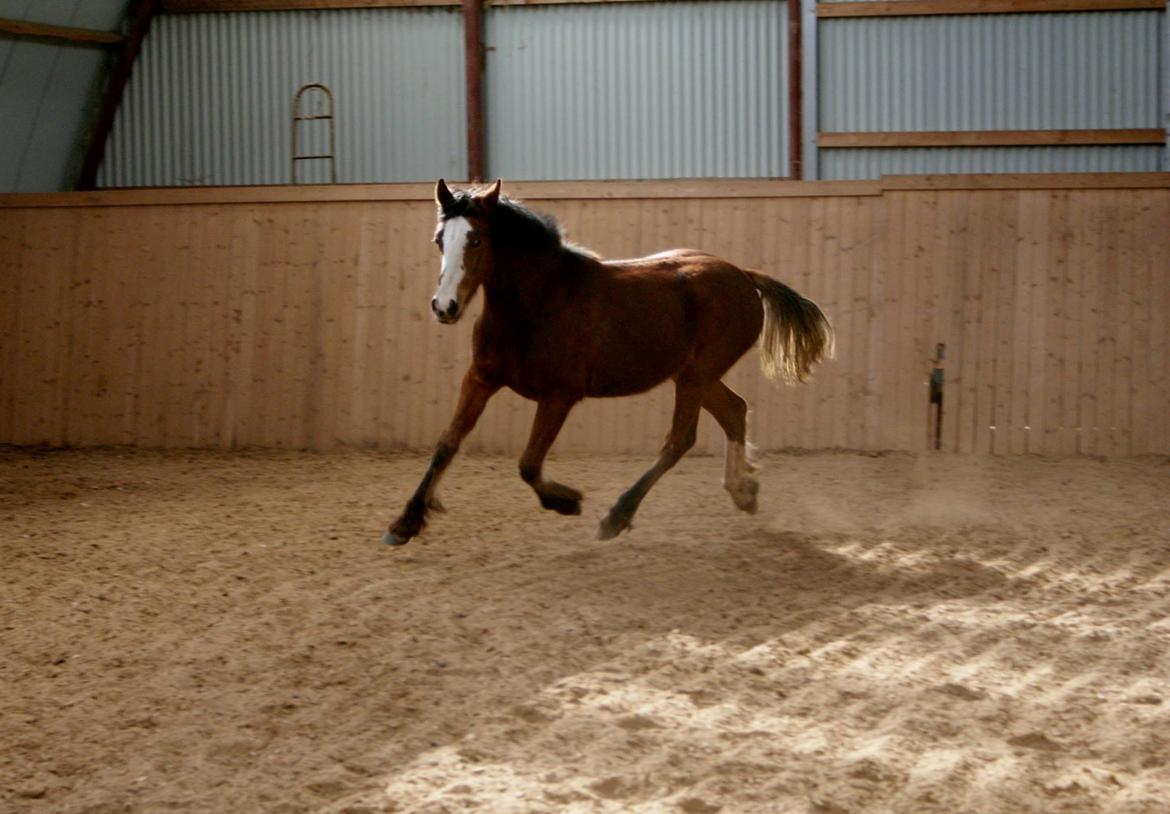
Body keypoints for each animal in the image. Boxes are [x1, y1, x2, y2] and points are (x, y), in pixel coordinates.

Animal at [383, 178, 833, 547]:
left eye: (475, 240)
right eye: (440, 239)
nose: (444, 306)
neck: (537, 303)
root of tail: (743, 274)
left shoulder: (559, 396)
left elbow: (528, 463)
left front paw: (568, 501)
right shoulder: (479, 379)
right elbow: (447, 443)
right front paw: (404, 523)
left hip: (696, 375)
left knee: (679, 440)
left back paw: (616, 517)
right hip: (692, 375)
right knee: (734, 411)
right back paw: (743, 492)